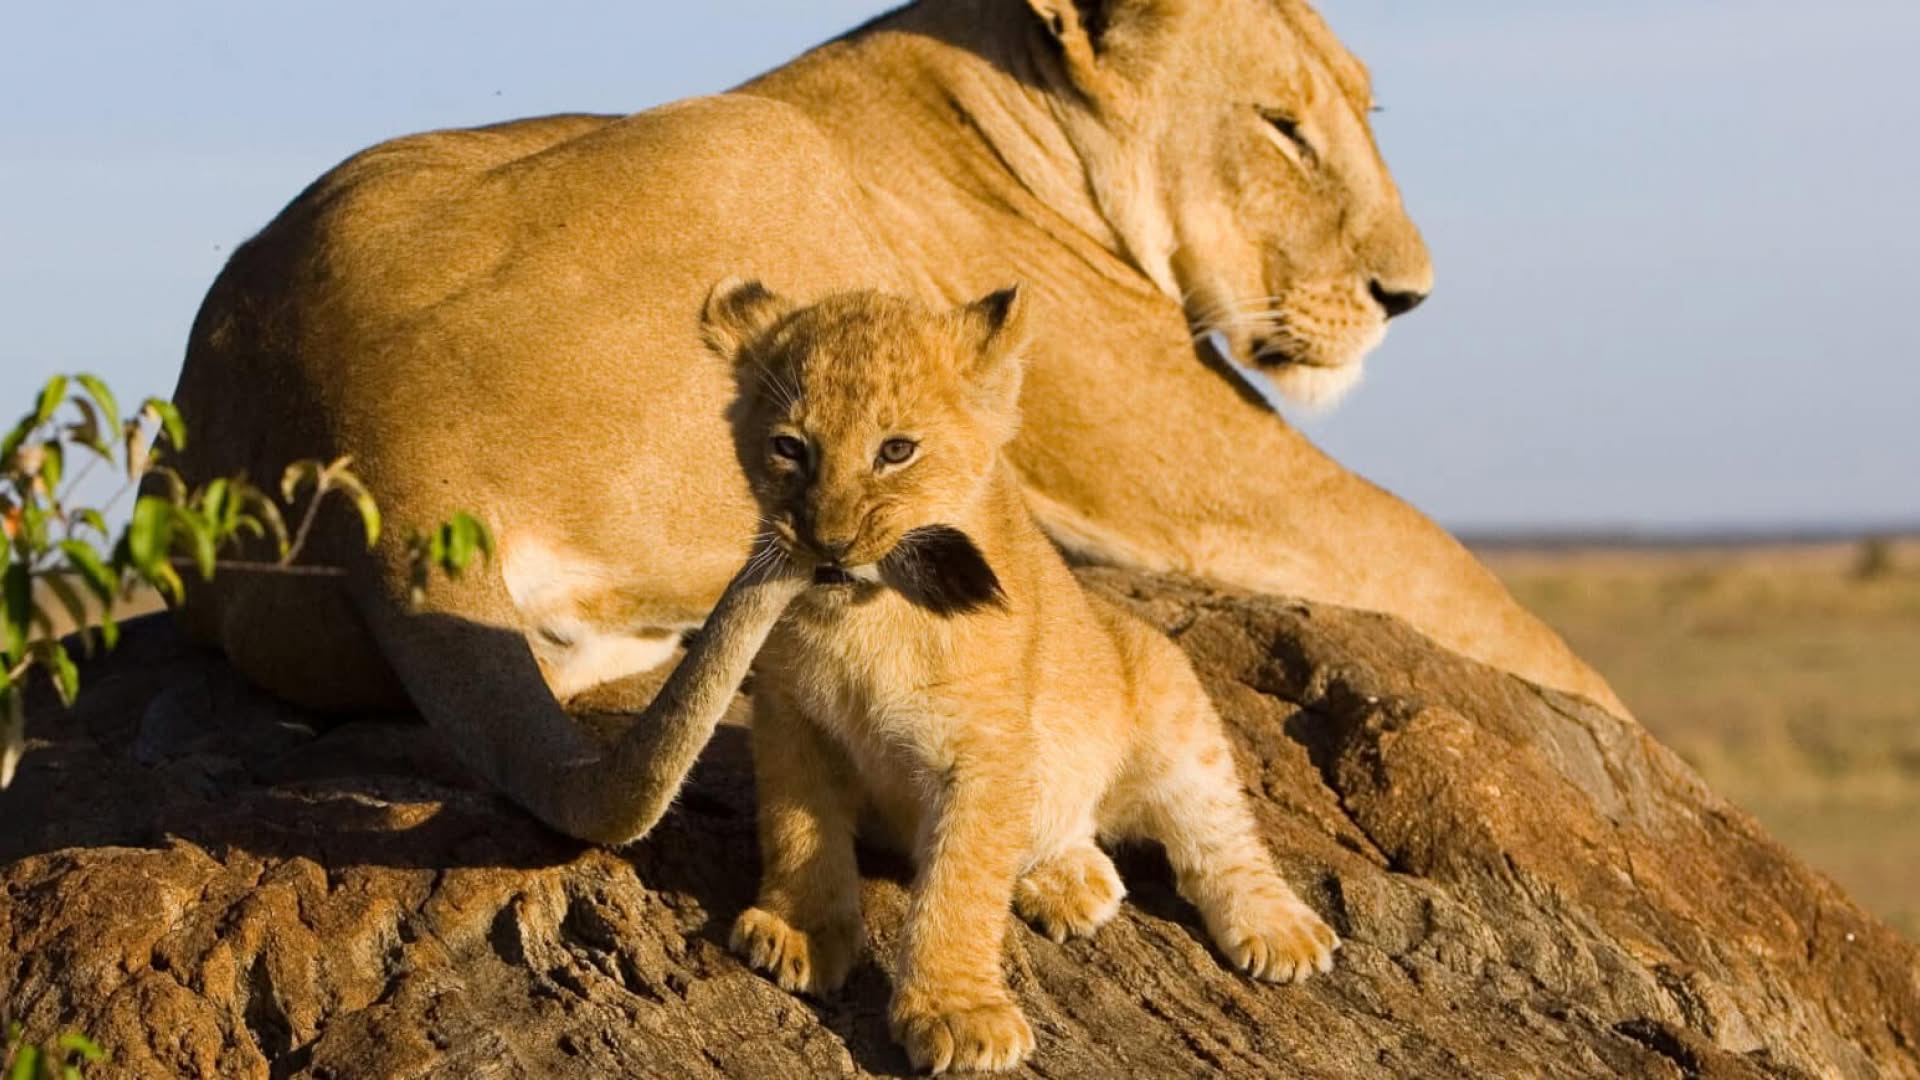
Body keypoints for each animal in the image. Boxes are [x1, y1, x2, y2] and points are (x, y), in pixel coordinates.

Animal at [162, 0, 1626, 844]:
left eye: (1364, 113)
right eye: (1282, 126)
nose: (1408, 297)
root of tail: (374, 459)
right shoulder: (1197, 465)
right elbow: (1460, 580)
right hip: (752, 147)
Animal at [707, 281, 1337, 1073]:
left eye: (896, 450)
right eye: (789, 447)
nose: (830, 542)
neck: (865, 616)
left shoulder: (987, 751)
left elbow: (962, 884)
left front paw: (958, 1014)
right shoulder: (792, 718)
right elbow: (798, 829)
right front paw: (801, 932)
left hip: (1171, 704)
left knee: (1221, 837)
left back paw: (1281, 930)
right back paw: (1072, 883)